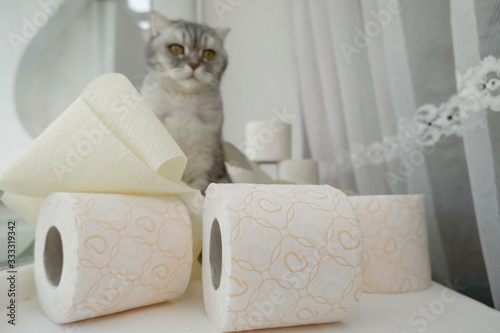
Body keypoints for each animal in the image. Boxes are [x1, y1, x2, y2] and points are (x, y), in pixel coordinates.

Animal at [141, 13, 230, 193]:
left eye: (208, 54)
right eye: (176, 49)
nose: (194, 64)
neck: (185, 103)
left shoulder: (206, 157)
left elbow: (201, 189)